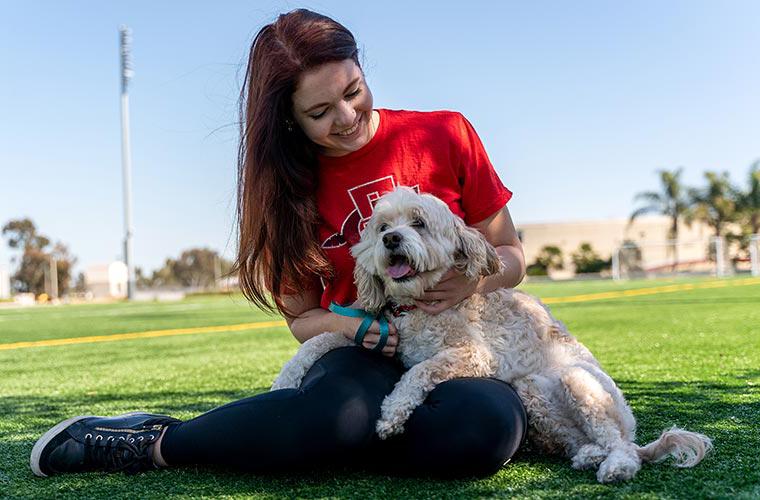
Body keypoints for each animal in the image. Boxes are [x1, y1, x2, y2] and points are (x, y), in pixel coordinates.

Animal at [274, 187, 712, 480]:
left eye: (418, 223)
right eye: (382, 226)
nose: (391, 239)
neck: (414, 309)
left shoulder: (472, 354)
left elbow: (418, 372)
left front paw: (391, 415)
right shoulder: (382, 332)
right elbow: (319, 340)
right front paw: (285, 379)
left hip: (577, 382)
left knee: (623, 445)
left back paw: (616, 466)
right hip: (534, 396)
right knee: (582, 439)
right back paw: (590, 455)